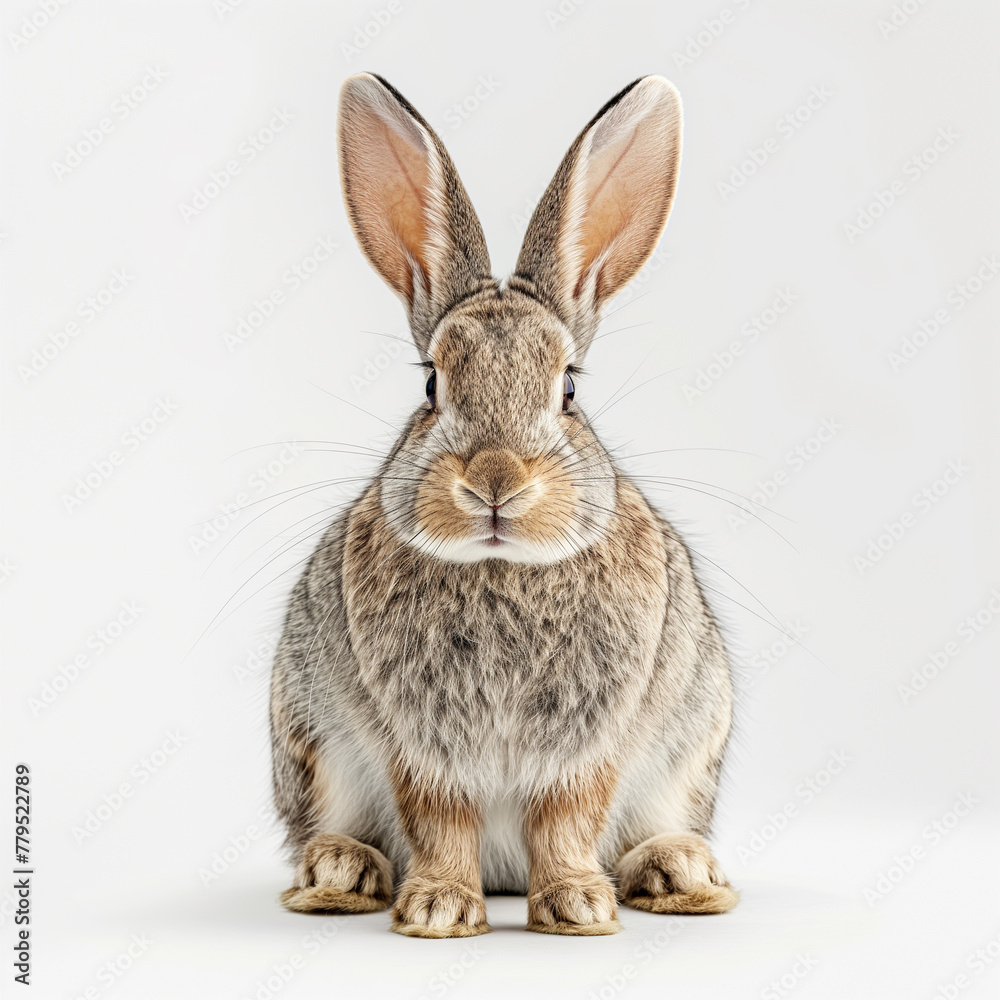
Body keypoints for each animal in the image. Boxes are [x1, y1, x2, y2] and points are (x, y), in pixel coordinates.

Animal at [270, 72, 738, 938]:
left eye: (569, 389)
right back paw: (341, 873)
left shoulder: (588, 744)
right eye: (430, 385)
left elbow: (568, 817)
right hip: (311, 745)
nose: (495, 480)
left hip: (690, 750)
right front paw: (438, 911)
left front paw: (579, 907)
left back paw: (678, 872)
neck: (501, 567)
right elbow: (440, 820)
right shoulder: (420, 746)